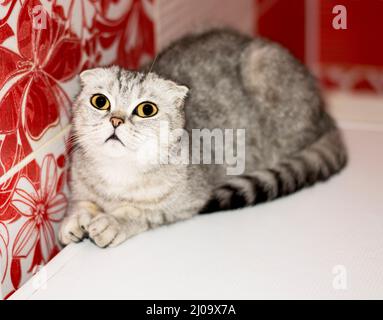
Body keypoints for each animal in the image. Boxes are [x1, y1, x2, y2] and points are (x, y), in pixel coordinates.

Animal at [59, 29, 348, 248]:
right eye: (100, 102)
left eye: (146, 109)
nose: (116, 120)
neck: (118, 174)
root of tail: (325, 115)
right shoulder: (81, 186)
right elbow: (81, 202)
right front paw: (75, 220)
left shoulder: (185, 203)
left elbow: (143, 211)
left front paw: (112, 222)